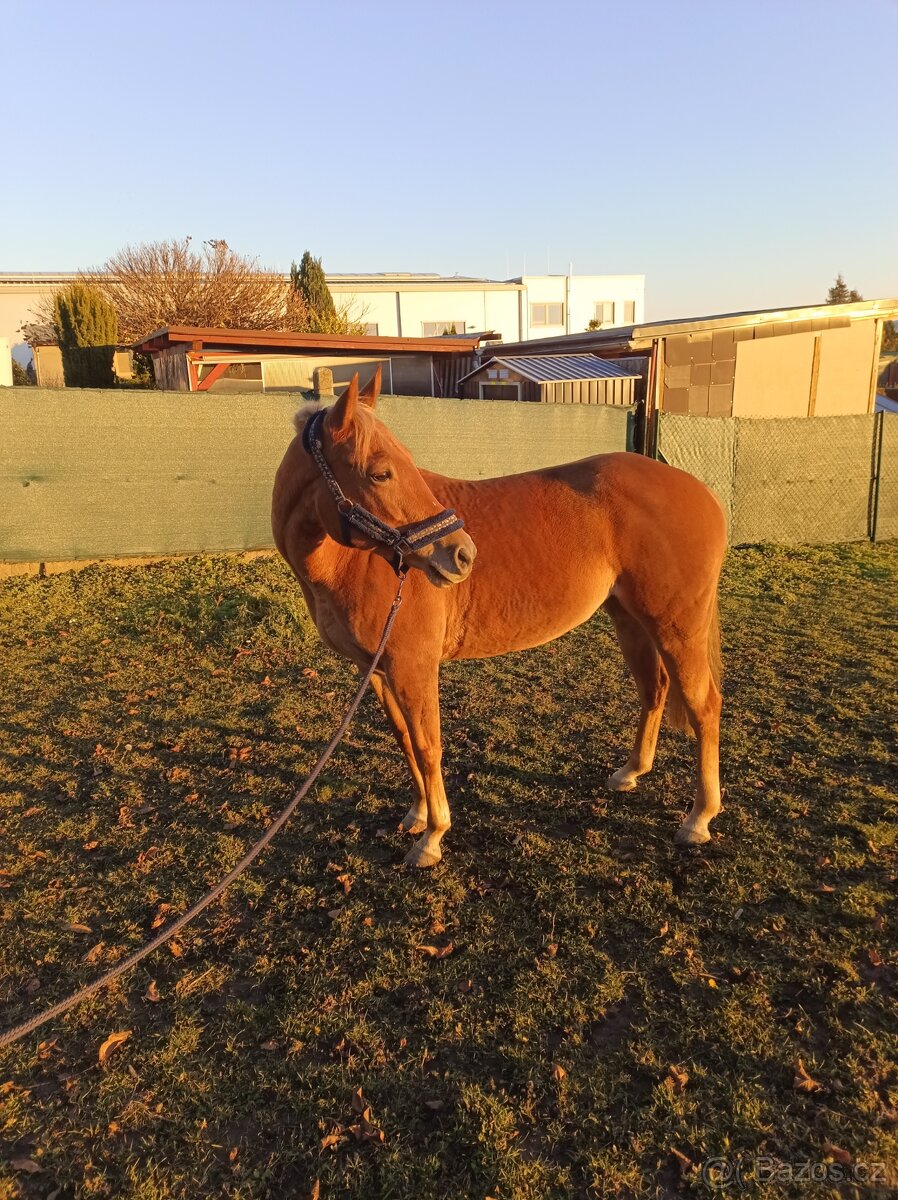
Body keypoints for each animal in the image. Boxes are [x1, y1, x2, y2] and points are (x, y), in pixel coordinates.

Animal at [272, 368, 727, 868]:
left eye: (401, 466)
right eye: (381, 472)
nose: (462, 554)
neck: (350, 564)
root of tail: (701, 491)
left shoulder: (413, 666)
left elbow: (428, 746)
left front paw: (432, 836)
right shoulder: (374, 670)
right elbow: (404, 738)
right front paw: (417, 814)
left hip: (676, 626)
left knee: (704, 706)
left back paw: (699, 818)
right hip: (631, 620)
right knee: (654, 689)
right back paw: (630, 773)